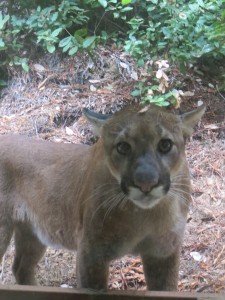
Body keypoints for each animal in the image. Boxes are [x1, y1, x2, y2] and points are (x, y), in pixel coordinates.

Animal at [0, 103, 205, 290]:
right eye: (123, 147)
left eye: (165, 144)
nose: (146, 183)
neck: (143, 216)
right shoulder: (92, 253)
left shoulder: (163, 251)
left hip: (32, 232)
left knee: (21, 267)